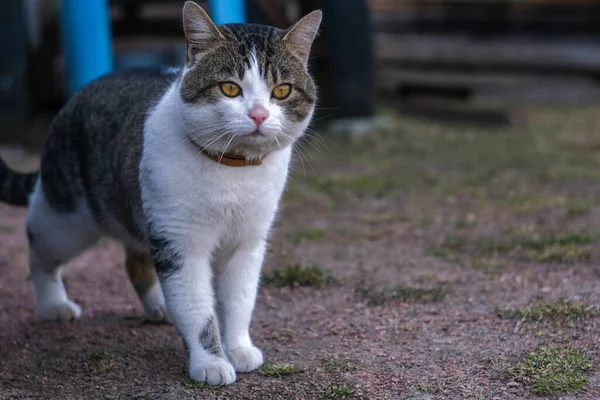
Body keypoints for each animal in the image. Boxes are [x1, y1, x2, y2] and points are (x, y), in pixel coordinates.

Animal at [0, 1, 322, 386]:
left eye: (282, 91)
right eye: (230, 89)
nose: (258, 115)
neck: (232, 171)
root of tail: (76, 95)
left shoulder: (246, 242)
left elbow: (239, 300)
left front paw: (239, 347)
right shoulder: (180, 242)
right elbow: (198, 308)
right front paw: (211, 362)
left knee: (136, 262)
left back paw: (161, 306)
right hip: (67, 220)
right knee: (39, 247)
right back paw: (53, 304)